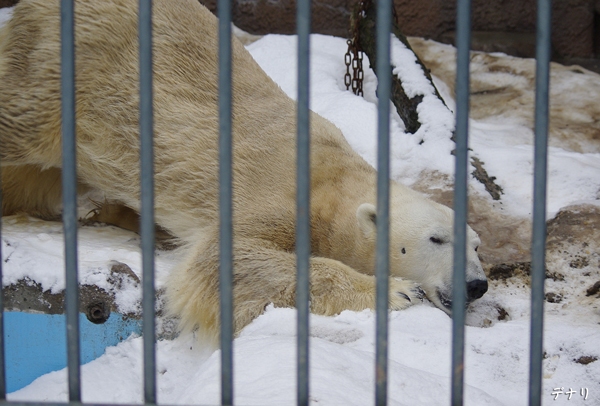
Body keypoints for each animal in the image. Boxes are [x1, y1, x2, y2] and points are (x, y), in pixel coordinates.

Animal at [0, 0, 488, 338]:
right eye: (436, 239)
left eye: (477, 246)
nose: (477, 285)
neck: (332, 179)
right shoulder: (275, 195)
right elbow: (226, 259)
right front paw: (397, 290)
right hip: (57, 69)